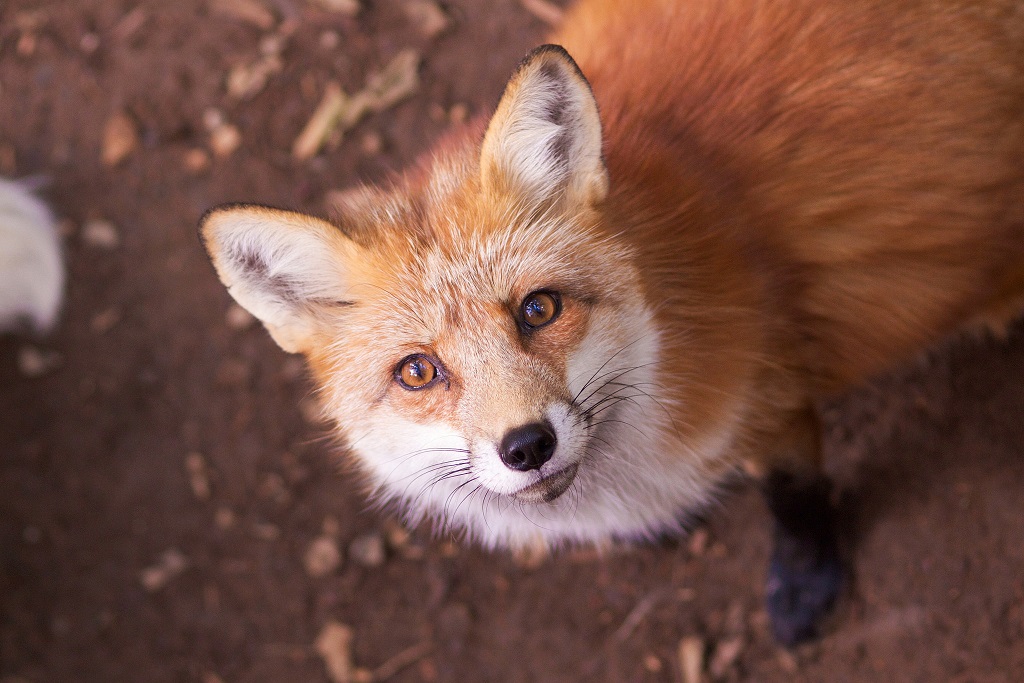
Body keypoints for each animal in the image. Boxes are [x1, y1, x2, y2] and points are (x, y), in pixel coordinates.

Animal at [199, 0, 1024, 647]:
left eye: (539, 308)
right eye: (417, 371)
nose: (527, 446)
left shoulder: (770, 391)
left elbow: (795, 493)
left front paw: (806, 580)